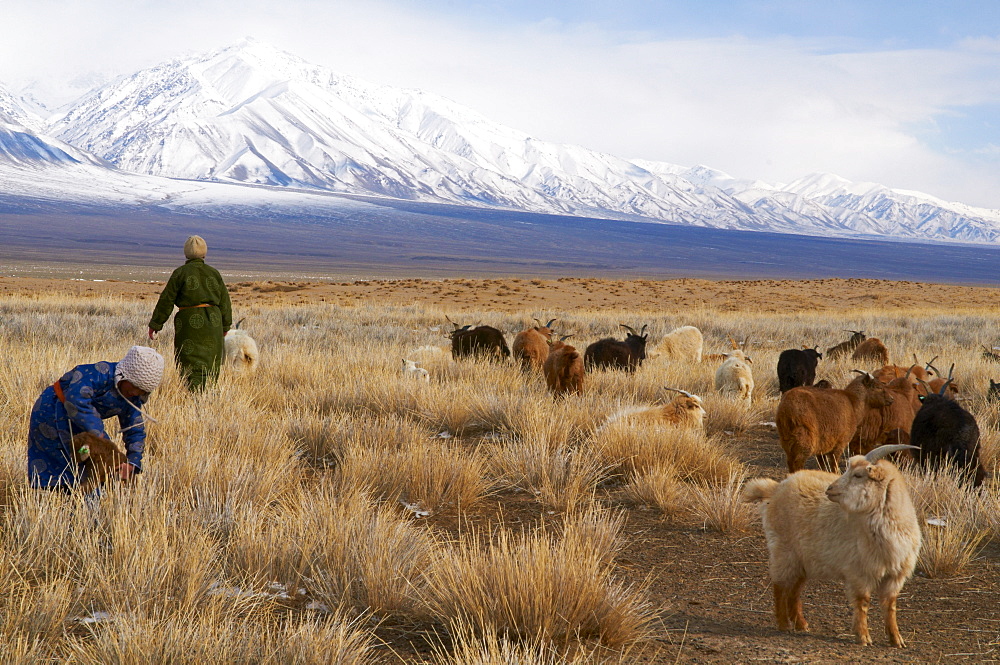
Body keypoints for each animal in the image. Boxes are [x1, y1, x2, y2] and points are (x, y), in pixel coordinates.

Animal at [744, 444, 920, 644]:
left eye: (858, 475)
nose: (830, 489)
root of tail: (775, 488)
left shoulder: (895, 576)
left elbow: (890, 607)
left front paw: (896, 639)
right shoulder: (859, 572)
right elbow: (862, 602)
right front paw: (863, 636)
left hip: (803, 559)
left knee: (795, 590)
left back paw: (800, 624)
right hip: (784, 550)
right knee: (779, 585)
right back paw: (783, 624)